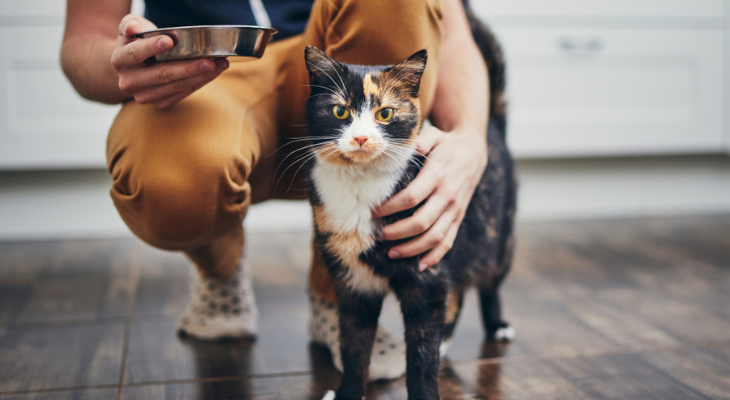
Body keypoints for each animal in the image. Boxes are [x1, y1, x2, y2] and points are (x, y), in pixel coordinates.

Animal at [300, 3, 512, 400]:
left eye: (385, 113)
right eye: (340, 112)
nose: (361, 138)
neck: (360, 185)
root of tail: (491, 126)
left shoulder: (426, 275)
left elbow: (421, 352)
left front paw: (425, 387)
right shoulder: (352, 282)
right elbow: (353, 345)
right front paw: (347, 391)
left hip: (496, 237)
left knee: (488, 282)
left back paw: (497, 324)